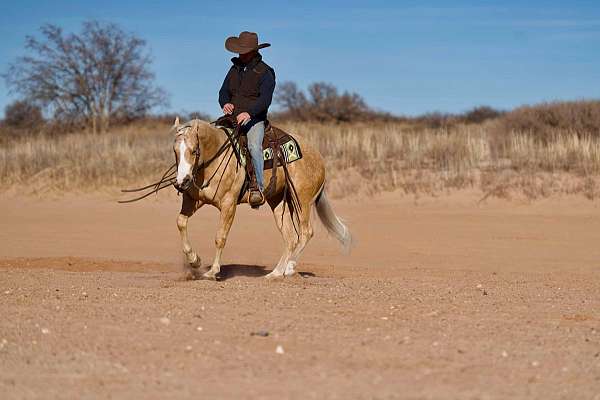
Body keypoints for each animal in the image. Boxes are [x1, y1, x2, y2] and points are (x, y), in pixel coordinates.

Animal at [171, 119, 352, 280]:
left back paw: (289, 268)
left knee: (306, 232)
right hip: (279, 203)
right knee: (291, 238)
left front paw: (213, 271)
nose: (182, 181)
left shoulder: (229, 204)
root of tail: (318, 156)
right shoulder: (192, 200)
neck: (214, 159)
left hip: (302, 200)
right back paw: (275, 273)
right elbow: (180, 222)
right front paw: (194, 260)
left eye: (194, 151)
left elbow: (220, 237)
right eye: (175, 151)